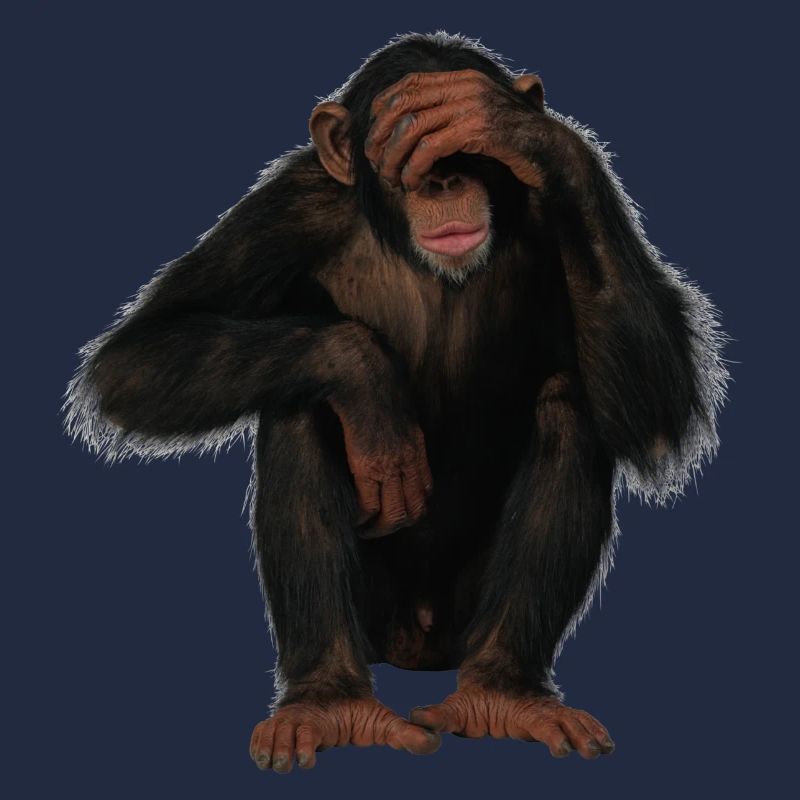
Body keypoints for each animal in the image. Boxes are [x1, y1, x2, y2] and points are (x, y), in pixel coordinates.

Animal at [62, 31, 730, 772]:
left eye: (469, 151)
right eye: (405, 150)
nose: (442, 181)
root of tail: (418, 647)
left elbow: (656, 416)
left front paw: (534, 135)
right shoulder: (290, 210)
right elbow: (140, 355)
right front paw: (365, 380)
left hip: (463, 621)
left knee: (571, 404)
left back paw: (501, 693)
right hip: (377, 622)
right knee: (301, 408)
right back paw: (329, 701)